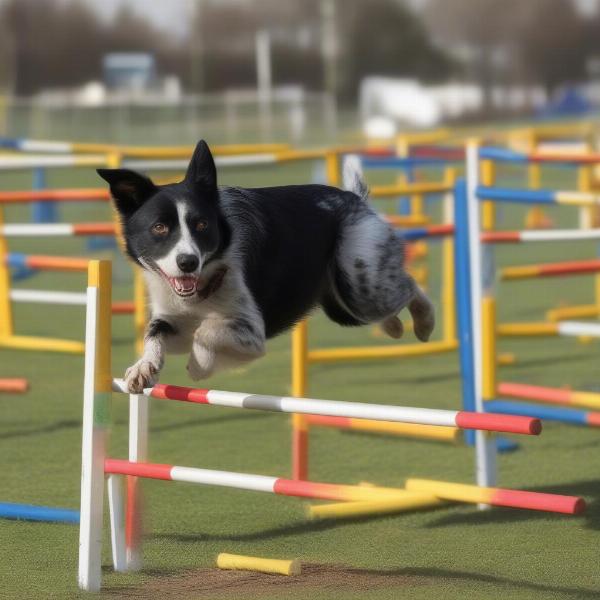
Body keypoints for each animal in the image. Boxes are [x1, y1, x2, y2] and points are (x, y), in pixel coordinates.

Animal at [98, 141, 436, 394]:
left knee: (408, 286)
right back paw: (394, 327)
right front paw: (143, 368)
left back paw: (424, 323)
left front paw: (198, 366)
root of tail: (356, 199)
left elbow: (206, 331)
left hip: (358, 285)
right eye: (159, 228)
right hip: (342, 308)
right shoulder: (173, 318)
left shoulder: (252, 331)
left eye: (202, 225)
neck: (205, 282)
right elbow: (154, 333)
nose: (188, 262)